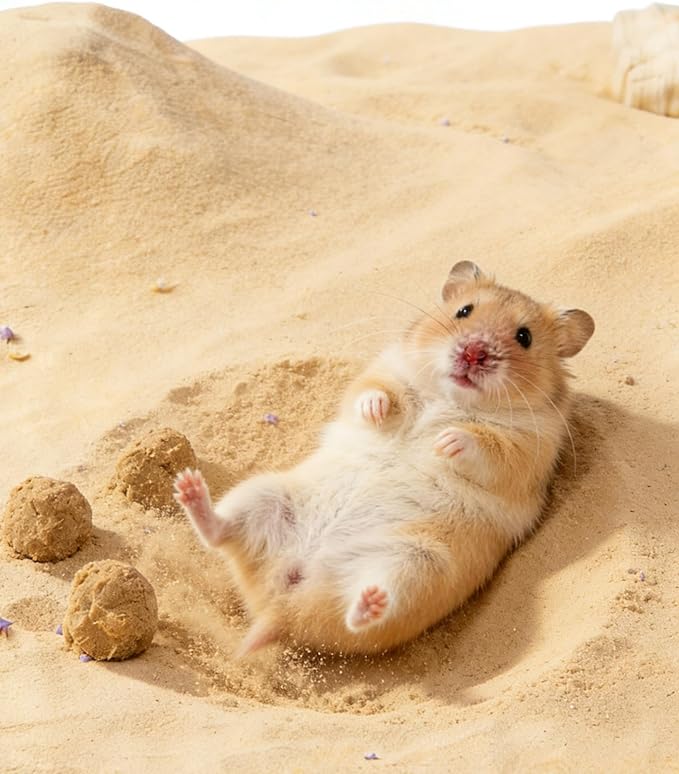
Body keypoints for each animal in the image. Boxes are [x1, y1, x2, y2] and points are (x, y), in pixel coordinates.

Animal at [174, 261, 595, 656]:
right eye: (464, 311)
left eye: (524, 337)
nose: (473, 352)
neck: (452, 398)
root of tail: (278, 605)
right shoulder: (382, 372)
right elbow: (371, 393)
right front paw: (380, 411)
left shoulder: (528, 452)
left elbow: (488, 447)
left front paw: (443, 442)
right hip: (265, 494)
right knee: (219, 533)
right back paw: (189, 487)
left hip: (414, 564)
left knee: (357, 615)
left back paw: (369, 600)